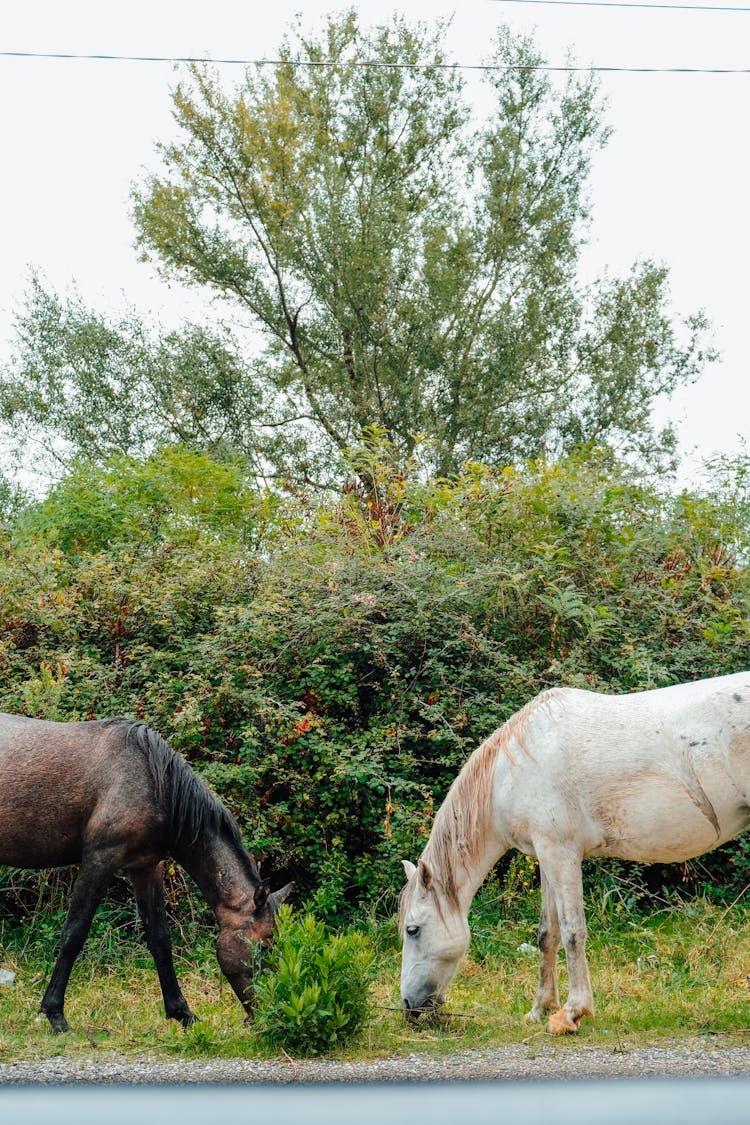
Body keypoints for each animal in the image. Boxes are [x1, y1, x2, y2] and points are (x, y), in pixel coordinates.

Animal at [0, 715, 292, 1030]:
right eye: (265, 947)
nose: (269, 1014)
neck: (155, 783)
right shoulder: (99, 860)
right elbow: (73, 934)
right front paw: (55, 1013)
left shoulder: (146, 867)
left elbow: (160, 939)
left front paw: (182, 1012)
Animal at [402, 670, 750, 1030]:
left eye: (412, 929)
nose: (409, 1007)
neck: (510, 773)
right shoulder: (545, 856)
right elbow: (547, 933)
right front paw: (540, 1008)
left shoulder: (561, 853)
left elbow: (572, 931)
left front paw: (572, 1012)